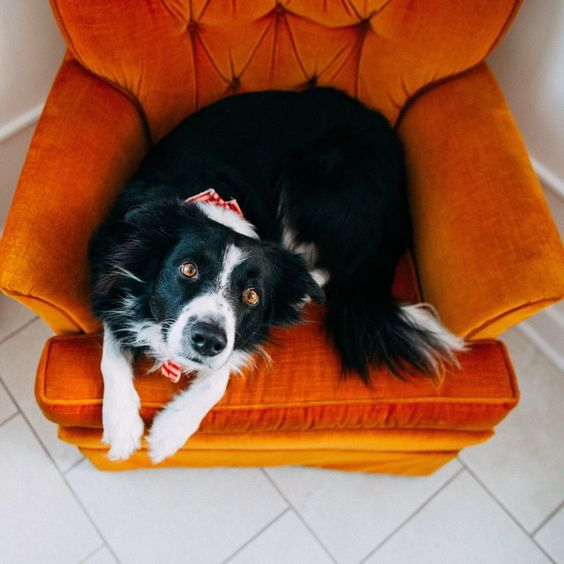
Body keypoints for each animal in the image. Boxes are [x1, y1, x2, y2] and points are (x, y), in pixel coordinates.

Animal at [90, 85, 464, 462]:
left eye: (252, 296)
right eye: (188, 268)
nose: (207, 340)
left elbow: (223, 369)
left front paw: (171, 431)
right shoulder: (110, 264)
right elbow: (112, 344)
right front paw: (122, 425)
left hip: (322, 177)